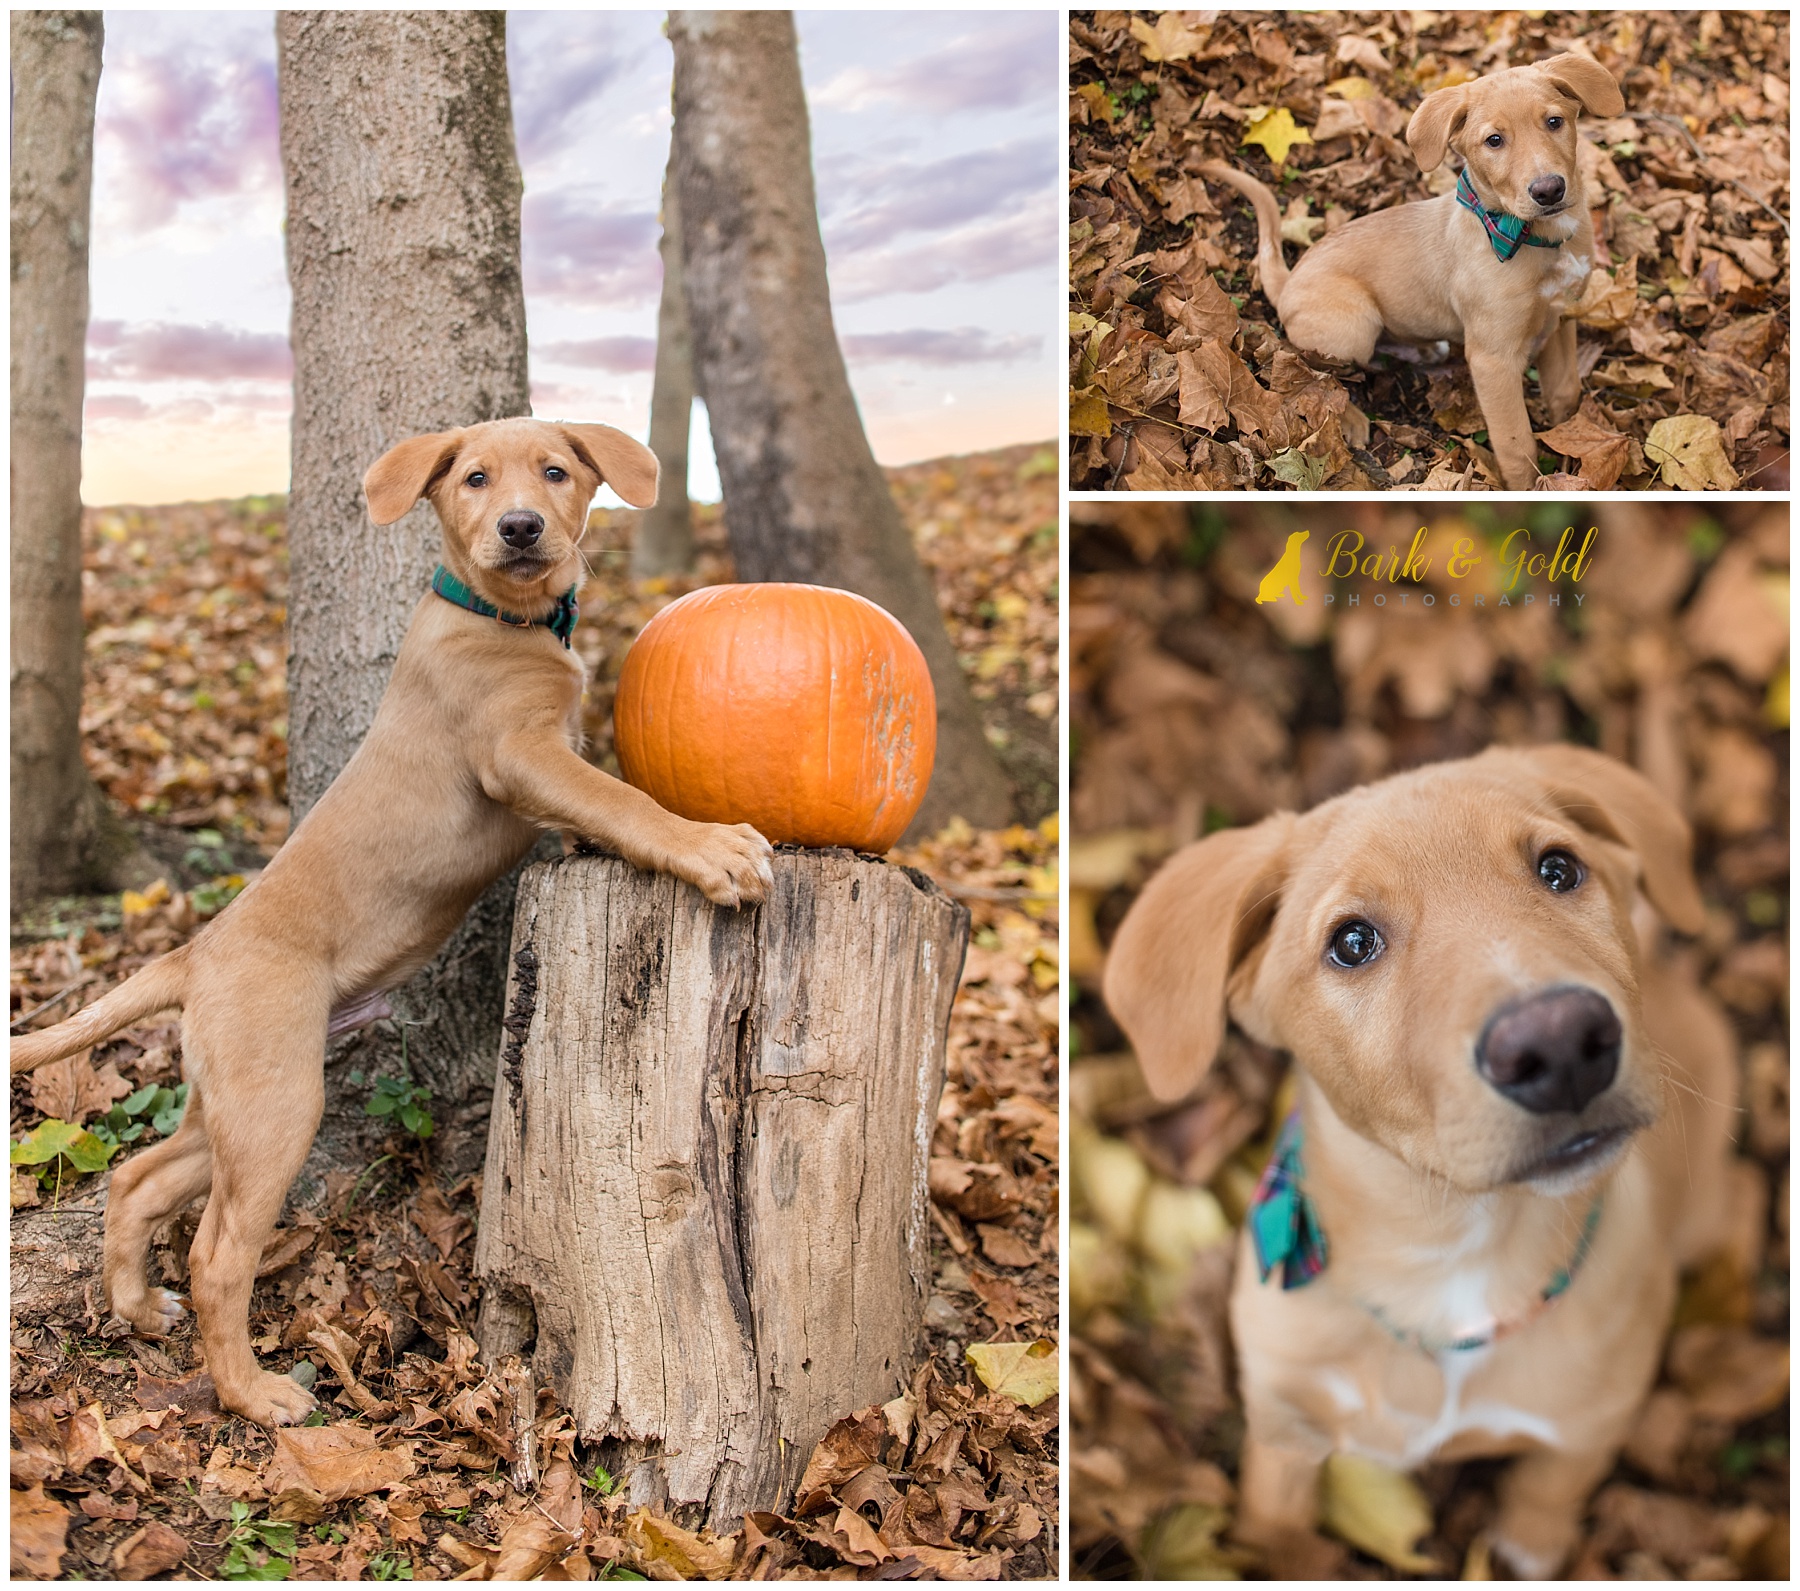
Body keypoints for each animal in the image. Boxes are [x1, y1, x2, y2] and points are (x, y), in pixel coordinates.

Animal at [12, 419, 774, 1432]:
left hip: (232, 1100)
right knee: (217, 1256)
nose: (522, 527)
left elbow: (601, 806)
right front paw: (711, 846)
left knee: (138, 1182)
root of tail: (195, 949)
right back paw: (255, 1392)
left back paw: (138, 1307)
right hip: (278, 1104)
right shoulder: (521, 755)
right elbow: (625, 799)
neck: (498, 617)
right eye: (476, 479)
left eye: (556, 472)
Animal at [1101, 748, 1735, 1576]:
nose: (1560, 1041)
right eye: (1352, 942)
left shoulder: (1587, 1428)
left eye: (1558, 868)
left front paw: (1530, 1546)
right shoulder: (1284, 1431)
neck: (1453, 1255)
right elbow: (1276, 1535)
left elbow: (1545, 1499)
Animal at [1202, 54, 1627, 489]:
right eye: (1494, 141)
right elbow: (1516, 442)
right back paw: (1348, 416)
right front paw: (1529, 485)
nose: (1548, 190)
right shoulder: (1493, 359)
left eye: (1554, 121)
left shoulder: (1561, 318)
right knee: (1308, 362)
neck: (1535, 238)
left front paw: (1568, 443)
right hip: (1353, 325)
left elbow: (1566, 392)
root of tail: (1289, 280)